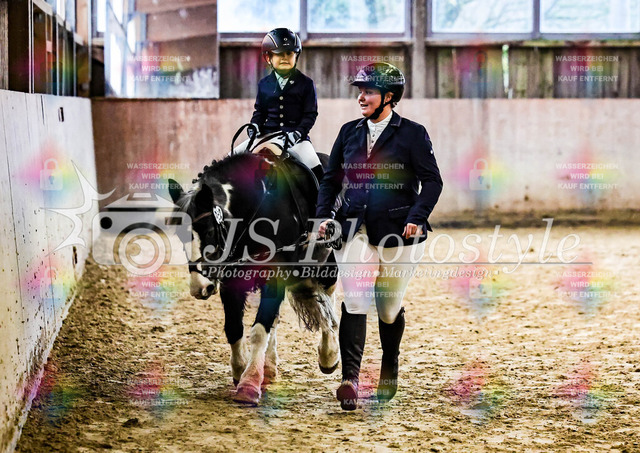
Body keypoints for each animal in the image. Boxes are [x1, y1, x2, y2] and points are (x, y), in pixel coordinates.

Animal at [168, 152, 340, 405]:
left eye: (208, 231)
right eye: (180, 236)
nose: (199, 287)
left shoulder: (275, 277)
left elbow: (259, 331)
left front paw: (248, 384)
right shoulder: (231, 279)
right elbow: (234, 327)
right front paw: (241, 371)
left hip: (325, 264)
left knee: (327, 301)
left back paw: (329, 355)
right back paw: (268, 367)